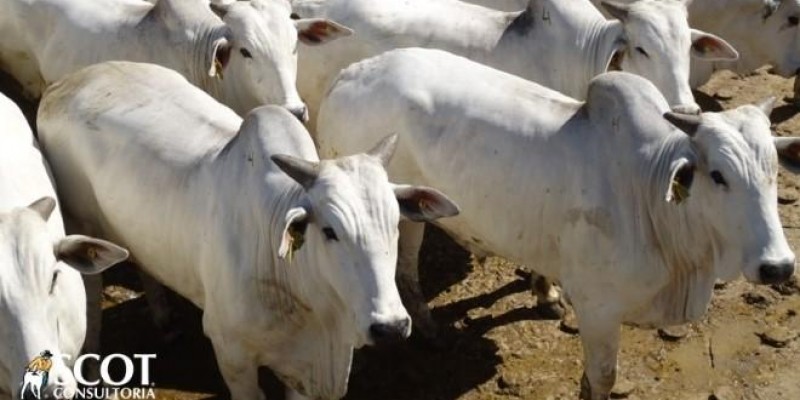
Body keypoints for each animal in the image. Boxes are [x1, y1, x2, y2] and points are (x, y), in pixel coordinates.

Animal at [37, 61, 460, 400]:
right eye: (330, 231)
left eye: (395, 224)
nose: (391, 327)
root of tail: (64, 85)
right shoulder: (233, 355)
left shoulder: (305, 370)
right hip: (81, 226)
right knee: (92, 296)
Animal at [316, 47, 800, 400]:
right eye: (718, 175)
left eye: (774, 170)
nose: (777, 267)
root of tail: (351, 74)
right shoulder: (599, 309)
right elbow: (601, 379)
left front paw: (543, 291)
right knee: (405, 270)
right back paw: (431, 332)